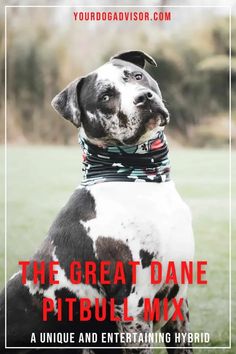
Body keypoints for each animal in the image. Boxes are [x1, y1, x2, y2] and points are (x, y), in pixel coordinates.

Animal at [0, 50, 194, 354]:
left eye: (137, 76)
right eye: (105, 96)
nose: (144, 97)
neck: (138, 179)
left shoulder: (178, 304)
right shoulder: (134, 306)